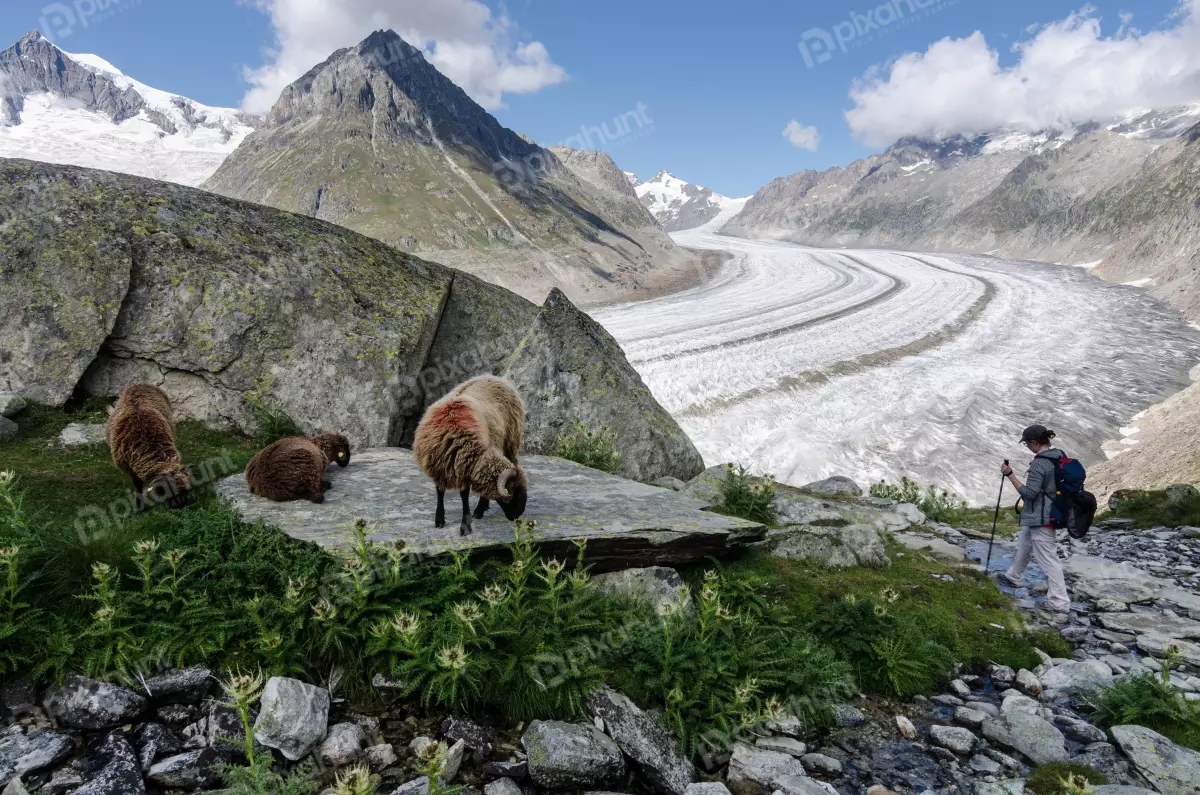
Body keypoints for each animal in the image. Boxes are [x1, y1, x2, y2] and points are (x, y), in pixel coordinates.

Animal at [412, 377, 525, 538]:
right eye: (513, 490)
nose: (518, 515)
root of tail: (496, 378)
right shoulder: (440, 468)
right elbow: (440, 492)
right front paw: (439, 519)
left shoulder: (464, 468)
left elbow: (463, 495)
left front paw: (465, 525)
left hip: (511, 441)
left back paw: (479, 510)